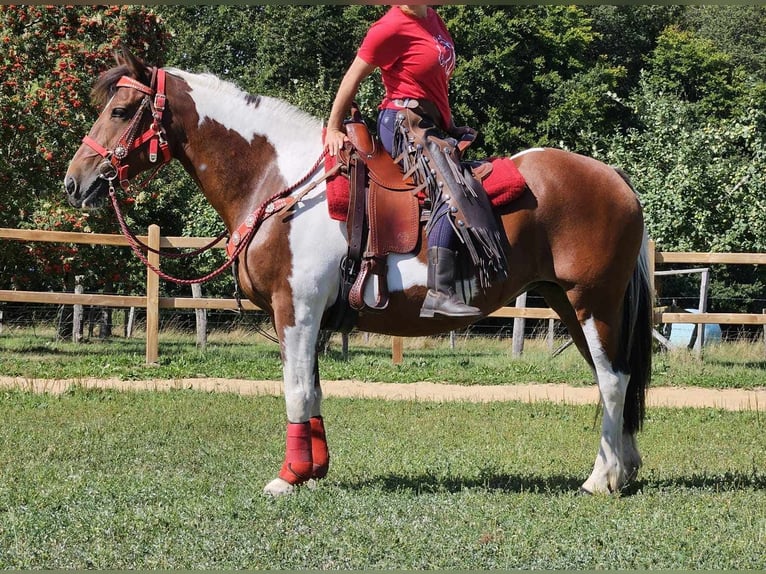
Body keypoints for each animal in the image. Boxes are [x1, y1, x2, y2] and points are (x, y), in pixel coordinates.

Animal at [64, 50, 656, 500]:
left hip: (593, 304)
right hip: (570, 305)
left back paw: (601, 480)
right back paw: (622, 470)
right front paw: (313, 471)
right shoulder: (307, 318)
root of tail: (614, 177)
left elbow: (296, 390)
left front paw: (287, 479)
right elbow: (314, 392)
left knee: (613, 380)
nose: (75, 181)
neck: (279, 184)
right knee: (616, 380)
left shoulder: (296, 310)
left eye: (121, 109)